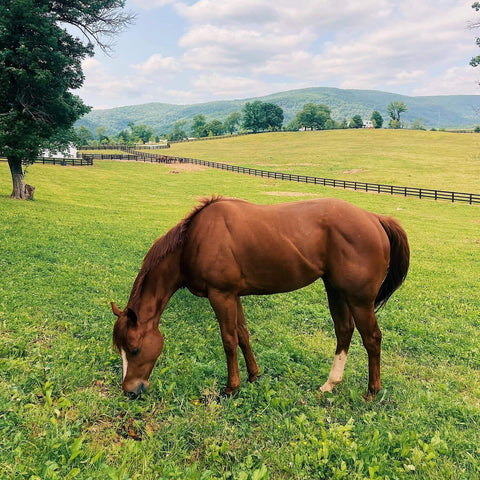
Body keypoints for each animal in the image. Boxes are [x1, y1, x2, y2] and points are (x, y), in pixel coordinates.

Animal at [112, 197, 408, 400]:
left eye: (135, 349)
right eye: (120, 350)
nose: (130, 390)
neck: (193, 241)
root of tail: (374, 218)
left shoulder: (221, 296)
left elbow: (229, 341)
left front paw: (231, 387)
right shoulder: (233, 296)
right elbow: (243, 334)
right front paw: (253, 375)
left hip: (359, 300)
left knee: (372, 339)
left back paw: (372, 391)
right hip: (336, 291)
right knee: (344, 331)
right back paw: (330, 384)